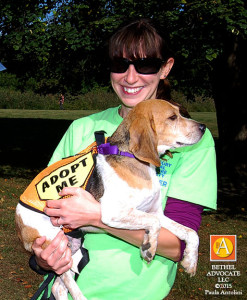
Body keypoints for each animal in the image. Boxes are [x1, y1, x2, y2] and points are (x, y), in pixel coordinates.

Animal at [15, 99, 206, 298]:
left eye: (180, 112)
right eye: (172, 117)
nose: (203, 127)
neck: (130, 157)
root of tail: (18, 217)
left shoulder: (155, 212)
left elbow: (190, 232)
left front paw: (190, 260)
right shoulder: (115, 212)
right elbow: (155, 223)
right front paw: (150, 246)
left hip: (71, 246)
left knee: (57, 287)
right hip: (54, 247)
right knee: (67, 282)